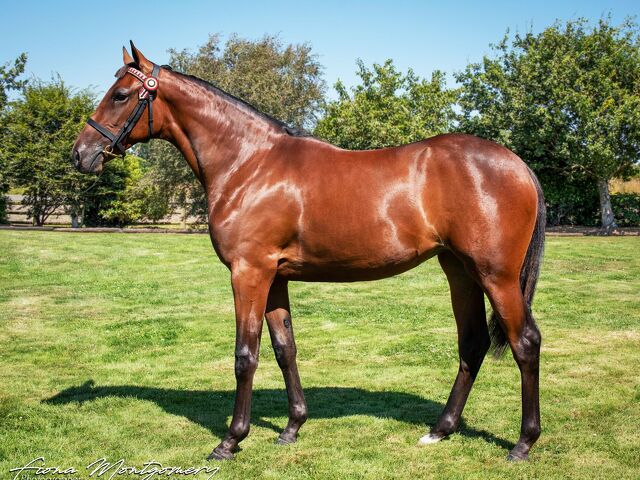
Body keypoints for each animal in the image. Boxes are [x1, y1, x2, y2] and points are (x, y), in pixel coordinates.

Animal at [72, 43, 545, 462]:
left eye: (120, 95)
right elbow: (285, 348)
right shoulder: (275, 277)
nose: (81, 154)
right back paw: (441, 430)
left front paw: (231, 440)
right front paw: (292, 428)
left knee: (525, 342)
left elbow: (245, 355)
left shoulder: (249, 273)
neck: (249, 163)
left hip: (496, 276)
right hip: (460, 270)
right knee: (473, 343)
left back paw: (523, 443)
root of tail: (519, 165)